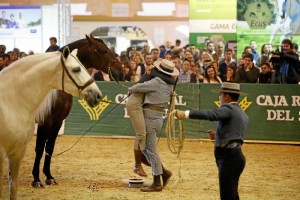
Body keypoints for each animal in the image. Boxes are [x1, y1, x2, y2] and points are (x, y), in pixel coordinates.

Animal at [31, 33, 123, 188]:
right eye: (103, 51)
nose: (121, 71)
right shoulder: (45, 122)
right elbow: (39, 149)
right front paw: (36, 179)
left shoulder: (57, 122)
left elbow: (50, 148)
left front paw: (49, 176)